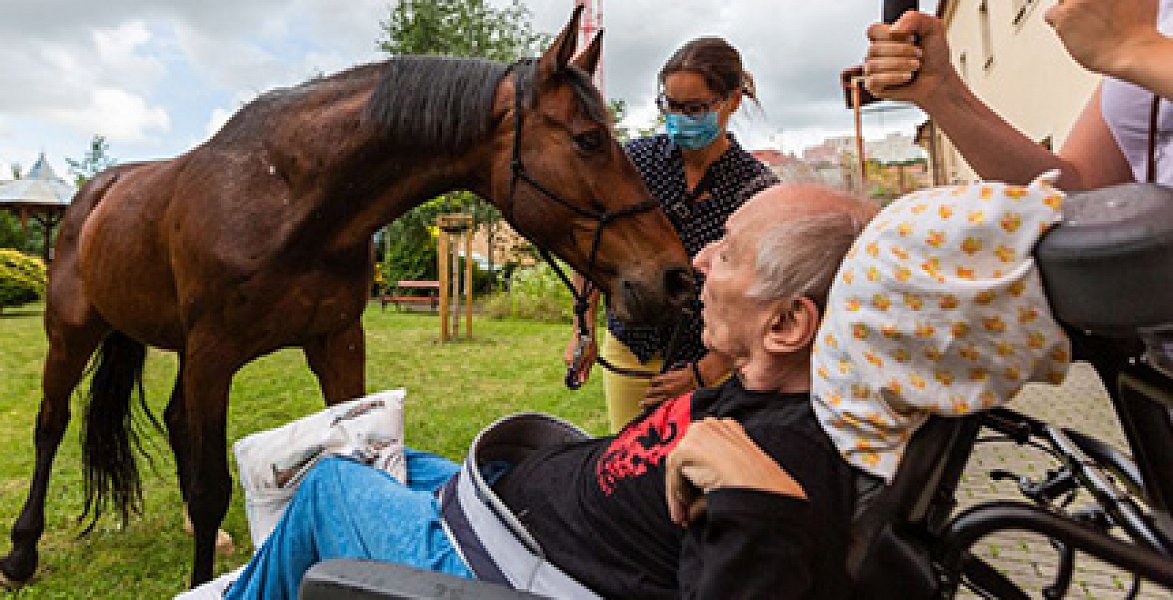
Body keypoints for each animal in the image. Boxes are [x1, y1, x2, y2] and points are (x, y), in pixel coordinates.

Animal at [0, 8, 689, 590]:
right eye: (587, 140)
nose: (675, 278)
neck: (289, 200)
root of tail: (95, 197)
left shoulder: (335, 343)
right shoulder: (213, 354)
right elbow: (209, 485)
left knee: (169, 421)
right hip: (73, 334)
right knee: (50, 425)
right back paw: (22, 551)